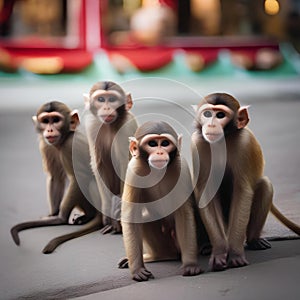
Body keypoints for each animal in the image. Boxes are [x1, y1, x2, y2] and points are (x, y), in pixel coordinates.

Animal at [10, 101, 102, 253]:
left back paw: (89, 216)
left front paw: (60, 218)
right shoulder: (46, 145)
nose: (50, 130)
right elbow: (56, 177)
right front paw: (53, 214)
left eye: (56, 120)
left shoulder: (70, 146)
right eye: (45, 121)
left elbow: (78, 179)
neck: (63, 139)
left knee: (89, 182)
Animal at [82, 80, 138, 234]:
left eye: (112, 99)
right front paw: (107, 211)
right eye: (101, 99)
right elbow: (98, 164)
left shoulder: (126, 126)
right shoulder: (92, 125)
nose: (106, 108)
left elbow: (125, 166)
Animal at [118, 120, 203, 282]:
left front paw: (190, 264)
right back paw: (159, 255)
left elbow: (183, 214)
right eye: (152, 143)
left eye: (164, 143)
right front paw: (137, 269)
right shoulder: (133, 170)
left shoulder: (181, 167)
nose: (159, 152)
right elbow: (131, 217)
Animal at [192, 92, 300, 270]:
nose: (211, 125)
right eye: (207, 114)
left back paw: (253, 240)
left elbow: (243, 191)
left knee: (264, 185)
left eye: (220, 115)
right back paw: (207, 245)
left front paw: (235, 253)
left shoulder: (244, 143)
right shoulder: (198, 144)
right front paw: (219, 251)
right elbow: (205, 193)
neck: (223, 141)